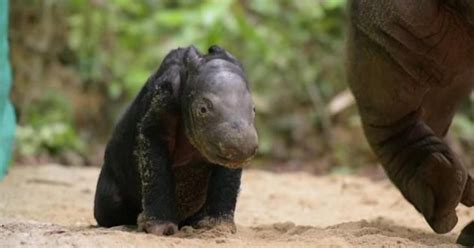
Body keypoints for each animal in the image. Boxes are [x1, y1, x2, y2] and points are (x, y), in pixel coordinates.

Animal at [94, 45, 258, 235]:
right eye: (202, 109)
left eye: (254, 109)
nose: (242, 146)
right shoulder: (162, 107)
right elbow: (155, 165)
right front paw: (159, 228)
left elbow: (227, 177)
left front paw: (219, 227)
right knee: (108, 206)